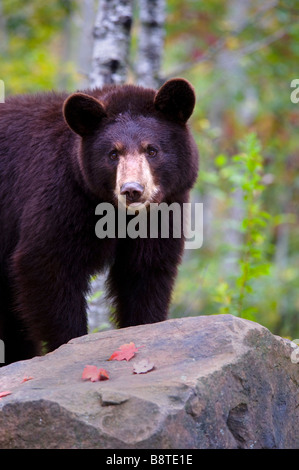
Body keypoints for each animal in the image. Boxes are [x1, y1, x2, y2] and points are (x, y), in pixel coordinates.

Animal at [0, 78, 199, 364]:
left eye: (152, 150)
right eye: (113, 154)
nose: (132, 190)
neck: (117, 213)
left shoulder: (162, 212)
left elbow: (146, 272)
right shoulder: (61, 197)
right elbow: (47, 263)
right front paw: (70, 344)